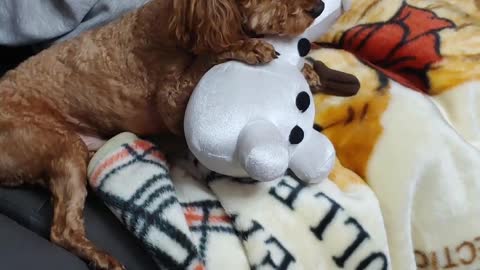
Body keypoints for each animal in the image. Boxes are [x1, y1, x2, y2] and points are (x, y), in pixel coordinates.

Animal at [0, 0, 328, 268]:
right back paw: (102, 258)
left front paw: (308, 71)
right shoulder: (171, 102)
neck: (181, 24)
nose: (320, 7)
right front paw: (246, 47)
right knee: (61, 231)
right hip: (59, 143)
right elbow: (206, 59)